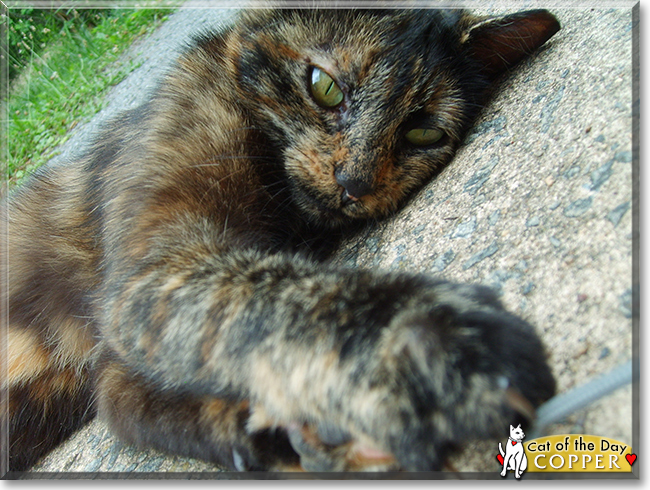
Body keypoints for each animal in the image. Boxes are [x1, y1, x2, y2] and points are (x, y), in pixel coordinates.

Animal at [1, 8, 556, 474]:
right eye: (324, 87)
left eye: (423, 133)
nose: (354, 182)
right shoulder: (151, 273)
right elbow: (276, 300)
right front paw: (426, 346)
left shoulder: (115, 368)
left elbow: (142, 406)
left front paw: (307, 433)